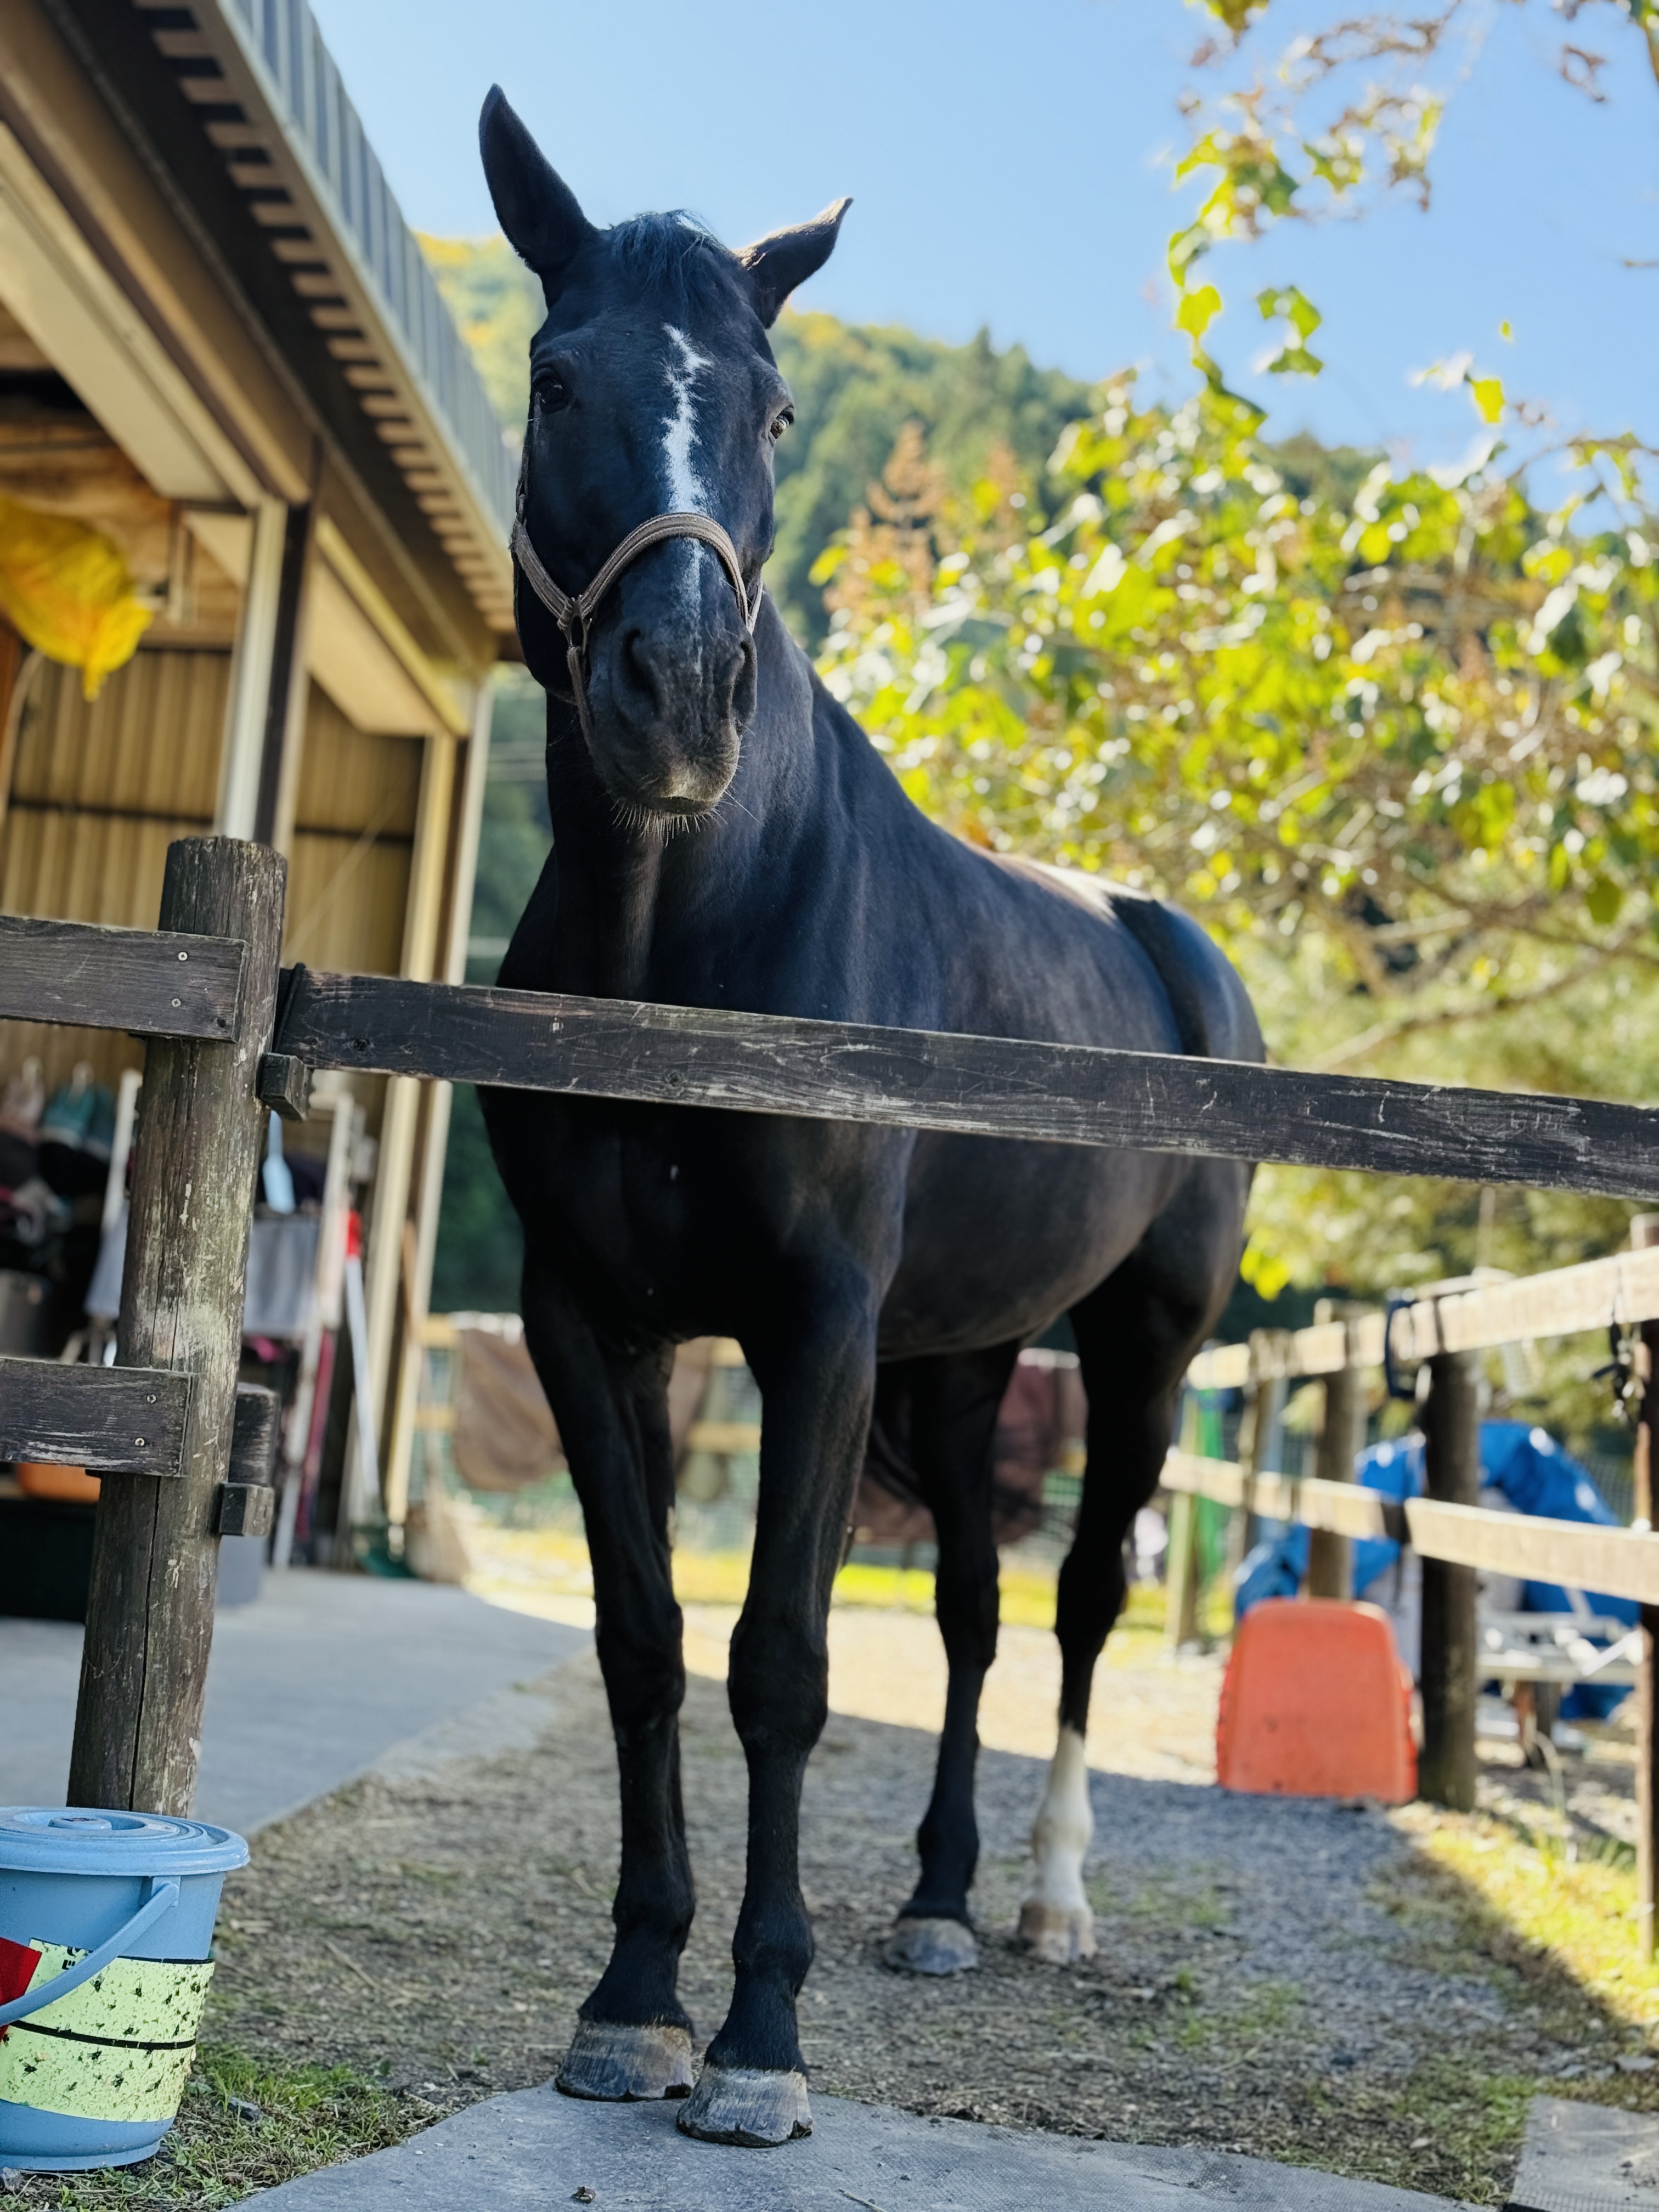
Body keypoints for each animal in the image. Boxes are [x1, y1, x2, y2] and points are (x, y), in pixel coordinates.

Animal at [475, 85, 1263, 2149]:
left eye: (770, 411)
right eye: (558, 375)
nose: (677, 695)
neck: (689, 949)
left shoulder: (814, 1330)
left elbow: (782, 1661)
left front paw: (758, 2038)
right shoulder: (597, 1323)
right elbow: (647, 1644)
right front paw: (634, 2001)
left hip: (1139, 1353)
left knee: (1078, 1604)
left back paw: (1049, 1900)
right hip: (965, 1364)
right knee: (979, 1610)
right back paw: (932, 1899)